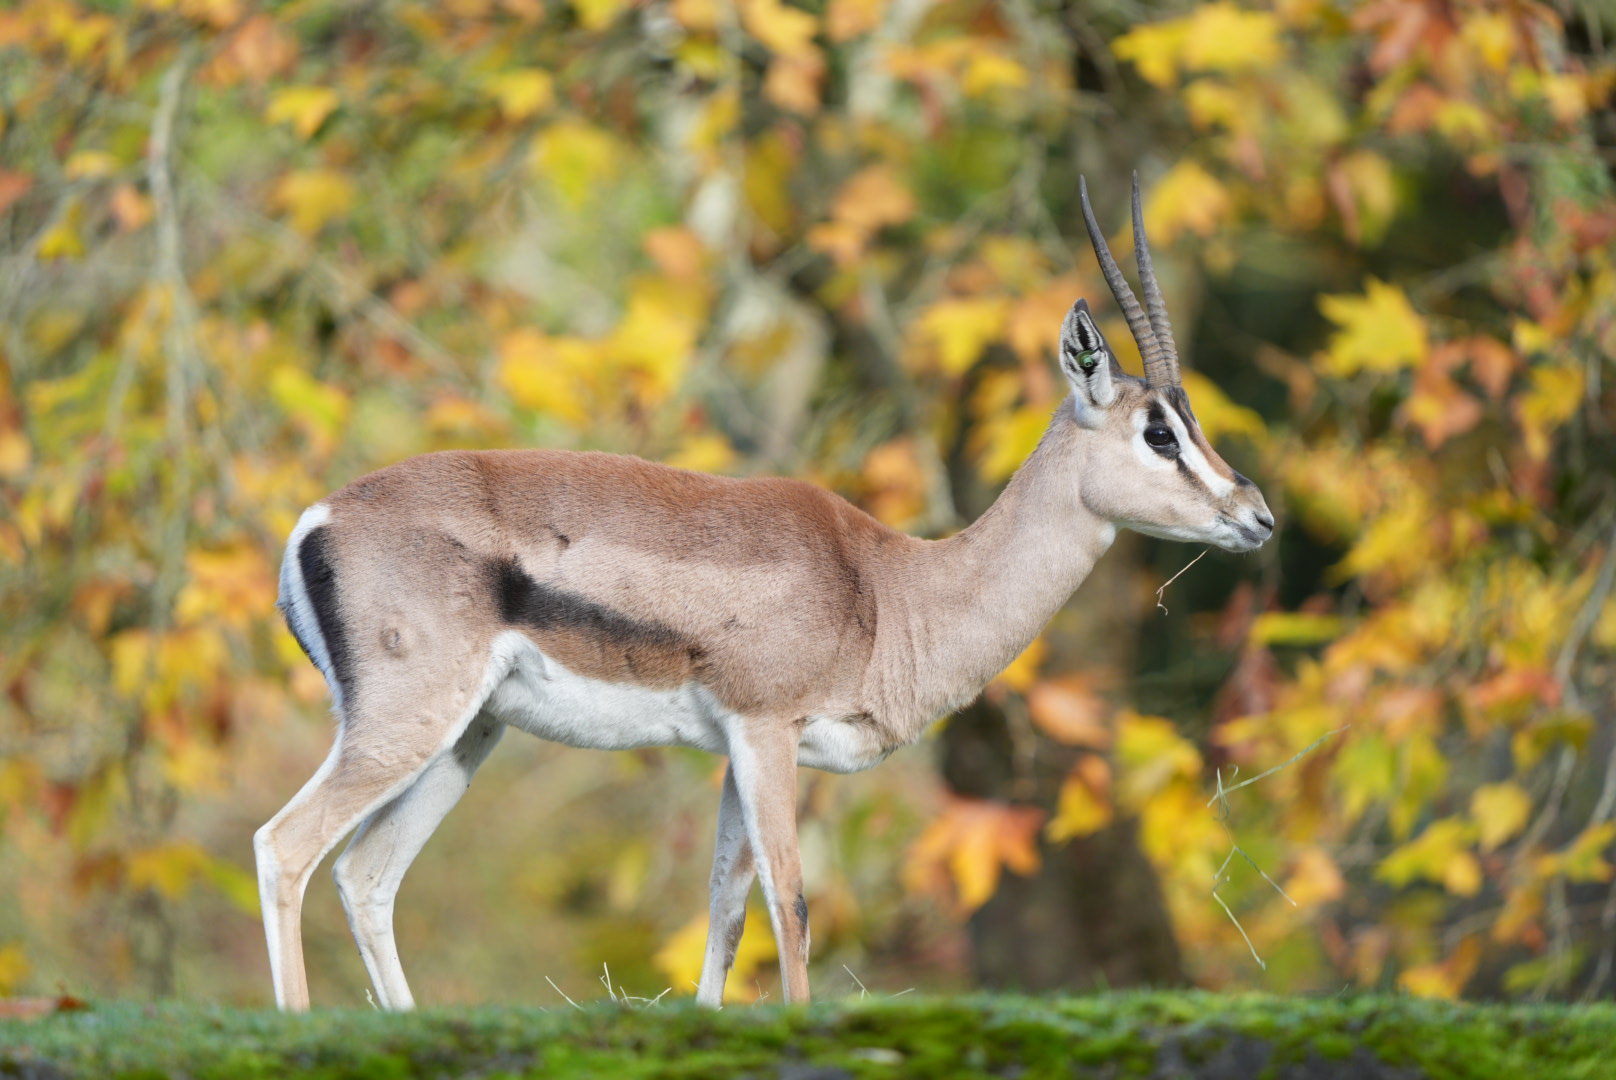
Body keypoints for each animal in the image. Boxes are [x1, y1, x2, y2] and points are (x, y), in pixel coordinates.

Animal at [254, 176, 1273, 1011]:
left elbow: (726, 910)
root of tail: (318, 518)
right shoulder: (766, 731)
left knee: (365, 875)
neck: (891, 589)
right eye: (1158, 432)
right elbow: (792, 904)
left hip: (469, 735)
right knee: (286, 847)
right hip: (411, 726)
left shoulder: (735, 753)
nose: (1257, 515)